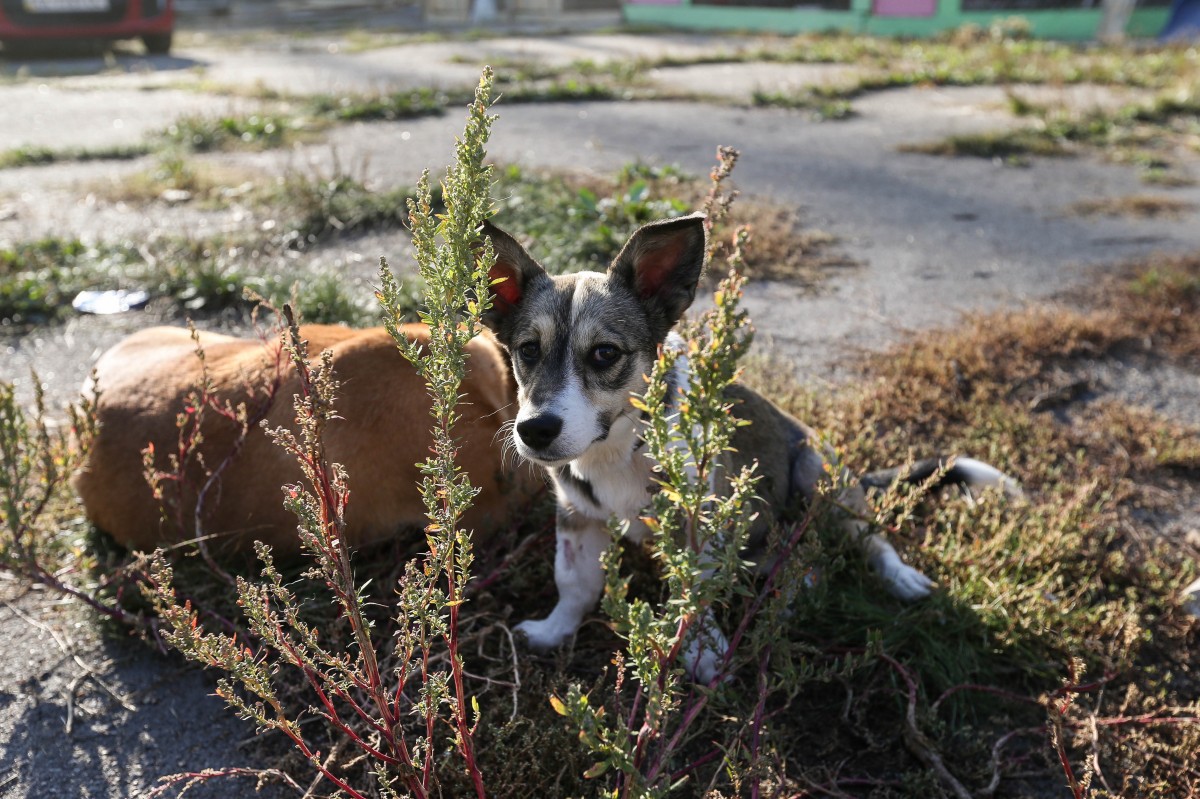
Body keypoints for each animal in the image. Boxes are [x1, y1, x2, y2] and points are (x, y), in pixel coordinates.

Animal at [477, 211, 1022, 676]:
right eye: (528, 350)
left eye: (605, 353)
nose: (535, 430)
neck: (619, 449)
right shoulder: (577, 515)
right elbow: (575, 583)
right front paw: (555, 631)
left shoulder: (695, 525)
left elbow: (692, 600)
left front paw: (703, 656)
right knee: (805, 564)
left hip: (820, 478)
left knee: (868, 540)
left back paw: (894, 577)